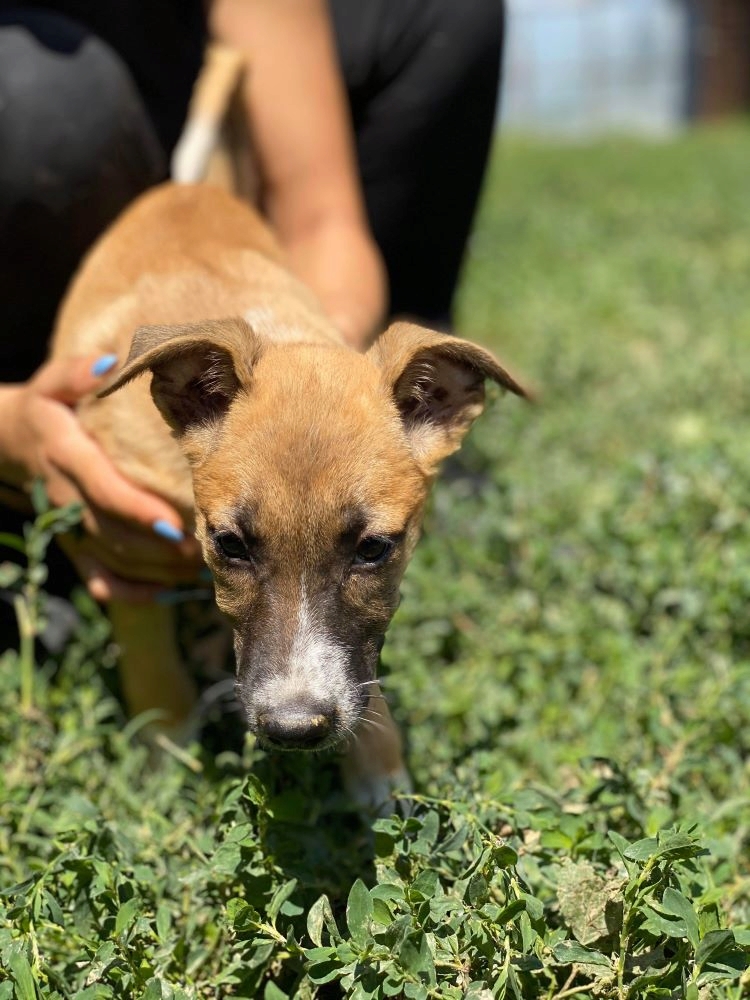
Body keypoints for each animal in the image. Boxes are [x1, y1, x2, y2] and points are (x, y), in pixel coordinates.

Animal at [51, 182, 528, 804]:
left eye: (375, 548)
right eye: (230, 544)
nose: (294, 730)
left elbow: (365, 673)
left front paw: (380, 773)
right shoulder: (118, 539)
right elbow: (150, 655)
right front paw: (165, 754)